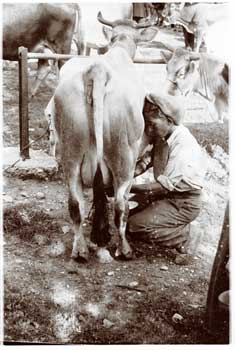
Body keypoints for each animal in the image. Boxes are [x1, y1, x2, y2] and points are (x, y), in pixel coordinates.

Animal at [46, 12, 158, 262]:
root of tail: (97, 71)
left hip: (70, 154)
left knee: (75, 203)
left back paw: (80, 249)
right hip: (124, 157)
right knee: (120, 205)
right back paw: (124, 249)